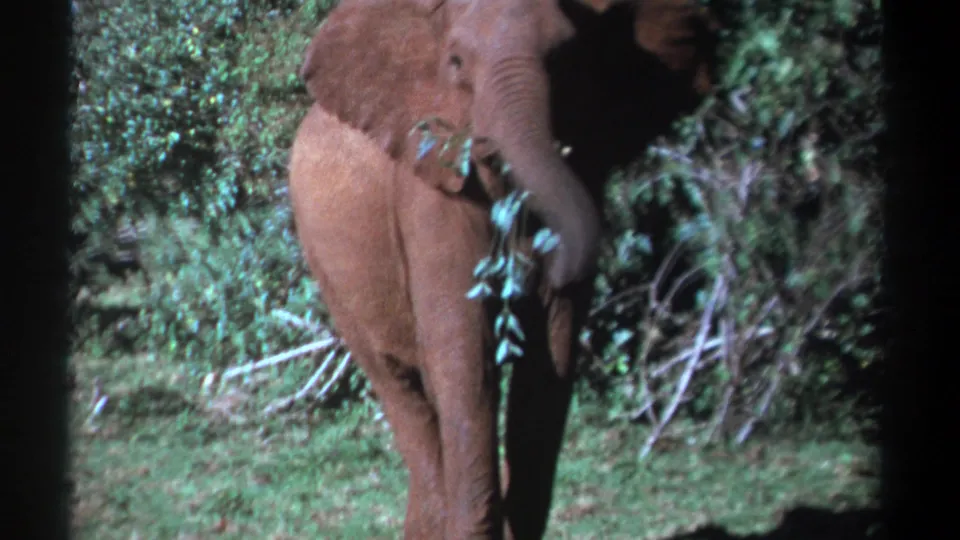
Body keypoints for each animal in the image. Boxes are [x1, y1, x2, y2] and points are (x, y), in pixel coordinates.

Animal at [287, 0, 719, 538]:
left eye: (566, 57)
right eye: (454, 63)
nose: (534, 264)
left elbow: (551, 359)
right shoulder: (429, 187)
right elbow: (467, 357)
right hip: (327, 269)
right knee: (401, 391)